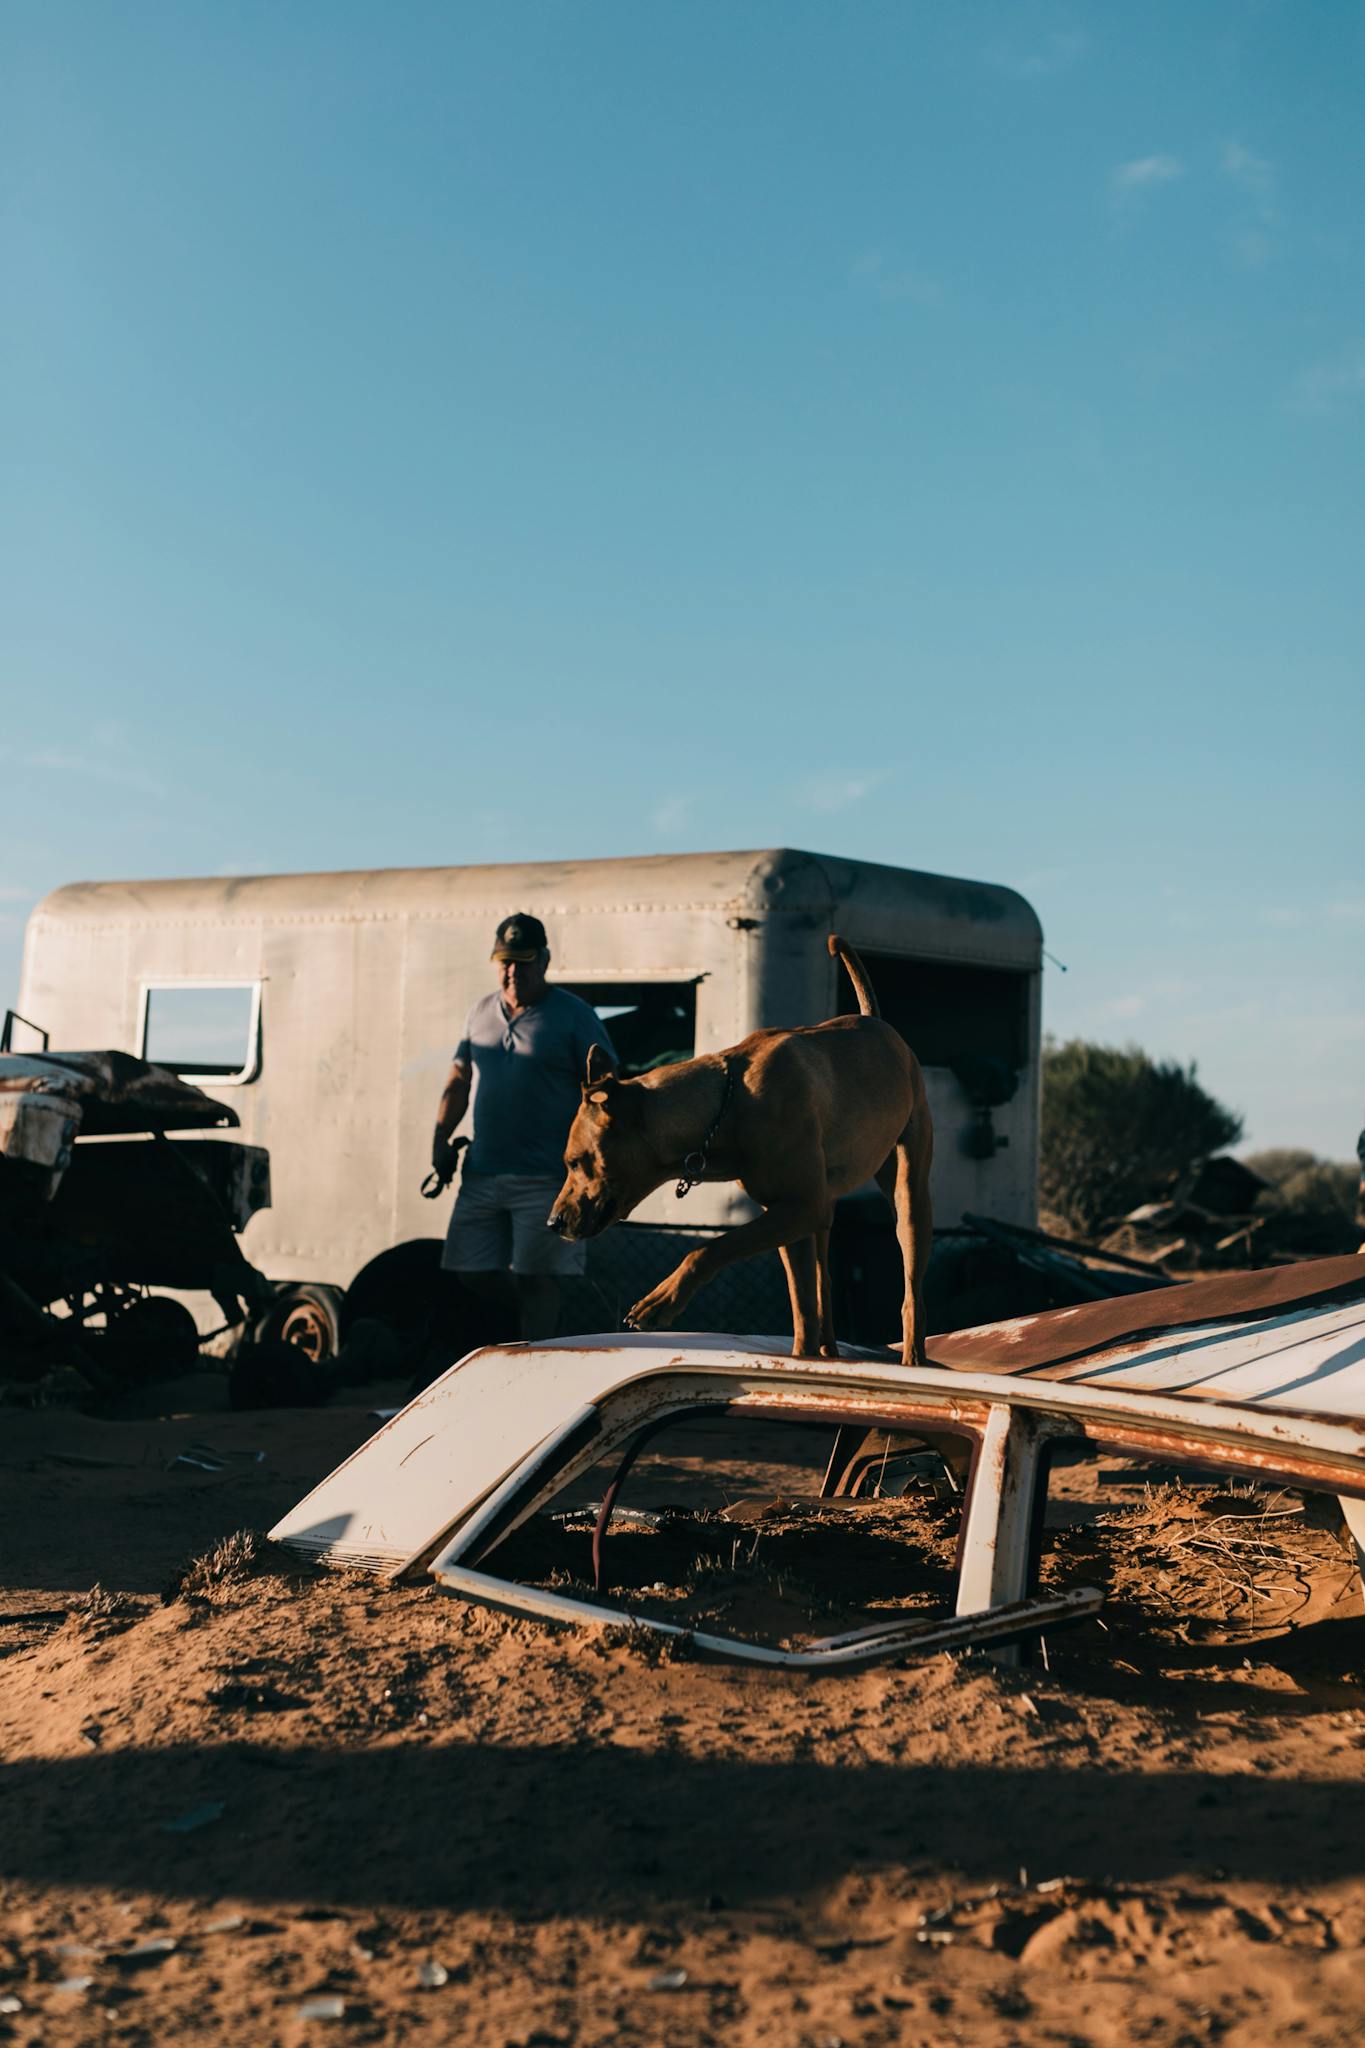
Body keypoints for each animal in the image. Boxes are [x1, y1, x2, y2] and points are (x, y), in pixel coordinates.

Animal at [548, 937, 933, 1359]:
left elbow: (709, 1248)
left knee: (911, 1289)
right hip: (825, 1212)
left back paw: (913, 1357)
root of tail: (878, 1023)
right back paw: (829, 1353)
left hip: (908, 1194)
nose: (553, 1223)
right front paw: (800, 1358)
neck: (726, 1106)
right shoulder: (792, 1215)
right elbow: (802, 1306)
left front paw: (659, 1302)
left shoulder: (800, 1208)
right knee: (824, 1285)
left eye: (576, 1162)